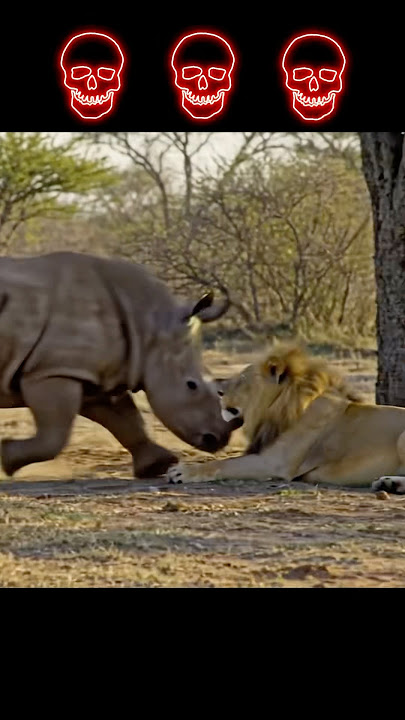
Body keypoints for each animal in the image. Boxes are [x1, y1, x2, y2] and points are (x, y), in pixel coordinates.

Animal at [0, 251, 240, 479]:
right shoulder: (51, 370)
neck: (150, 328)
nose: (218, 439)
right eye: (191, 385)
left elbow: (126, 421)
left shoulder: (96, 374)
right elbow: (55, 436)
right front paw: (7, 457)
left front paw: (159, 465)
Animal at [166, 340, 405, 494]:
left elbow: (225, 464)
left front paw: (182, 471)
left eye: (242, 379)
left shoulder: (274, 462)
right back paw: (389, 484)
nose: (218, 391)